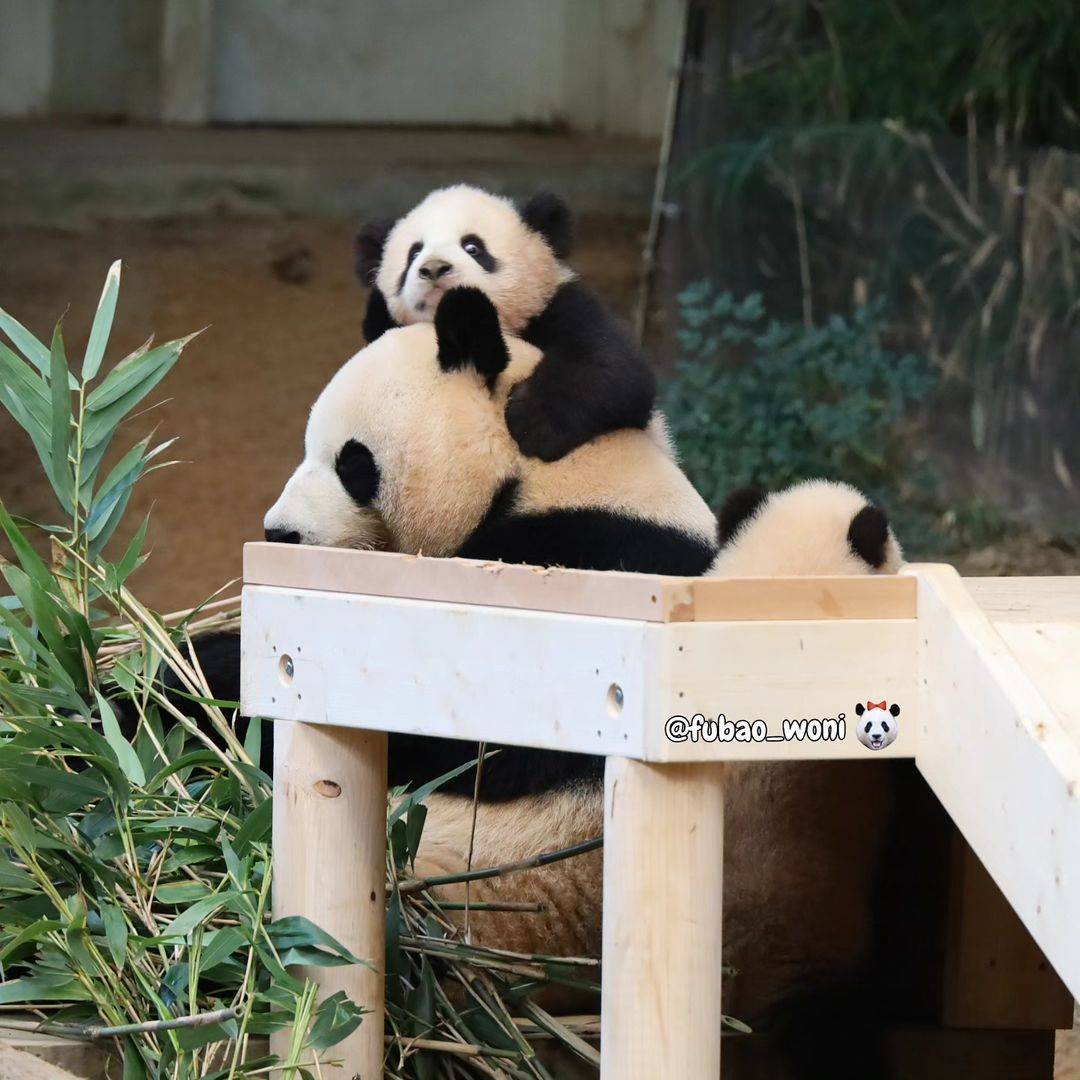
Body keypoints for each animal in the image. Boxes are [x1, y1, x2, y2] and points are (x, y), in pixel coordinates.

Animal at [358, 184, 652, 460]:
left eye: (473, 247)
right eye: (414, 253)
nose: (433, 268)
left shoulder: (557, 307)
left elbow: (611, 364)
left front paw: (535, 423)